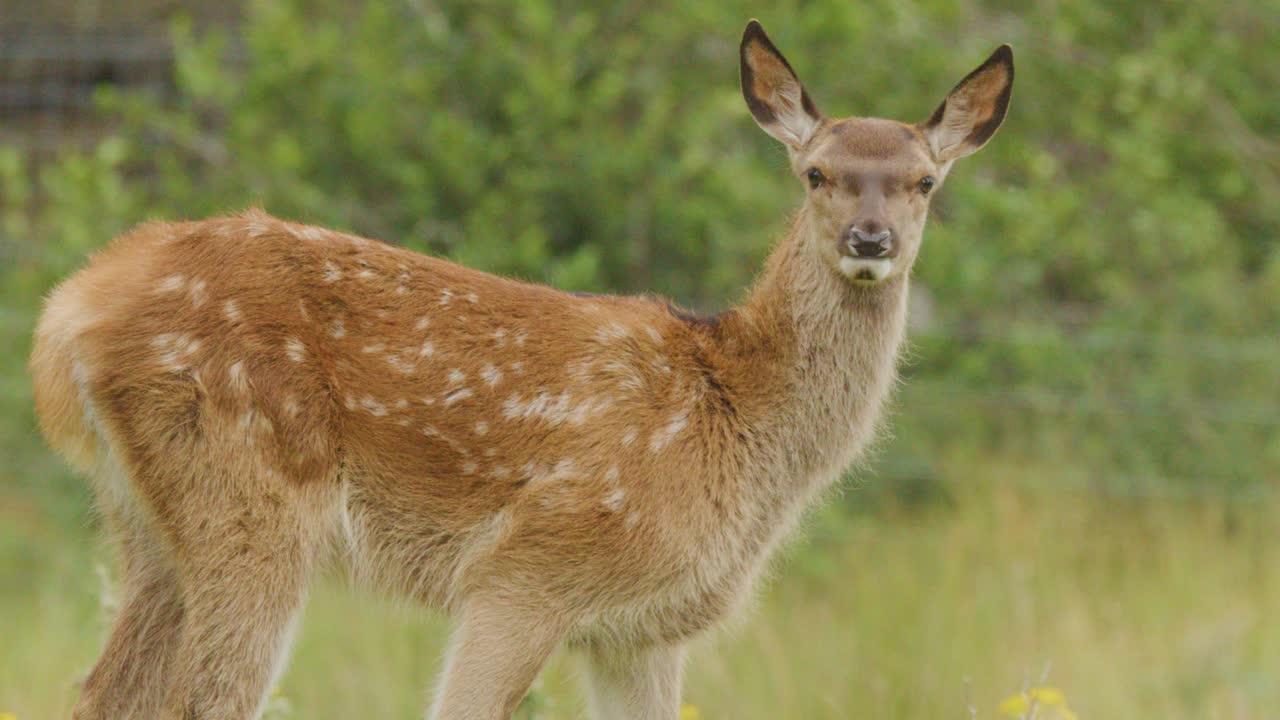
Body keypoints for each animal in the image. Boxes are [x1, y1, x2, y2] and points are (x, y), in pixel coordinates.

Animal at [30, 19, 1012, 720]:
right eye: (815, 173)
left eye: (925, 182)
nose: (870, 240)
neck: (737, 410)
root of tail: (72, 310)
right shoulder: (528, 567)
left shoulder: (643, 633)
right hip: (247, 494)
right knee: (201, 699)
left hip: (150, 522)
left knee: (103, 692)